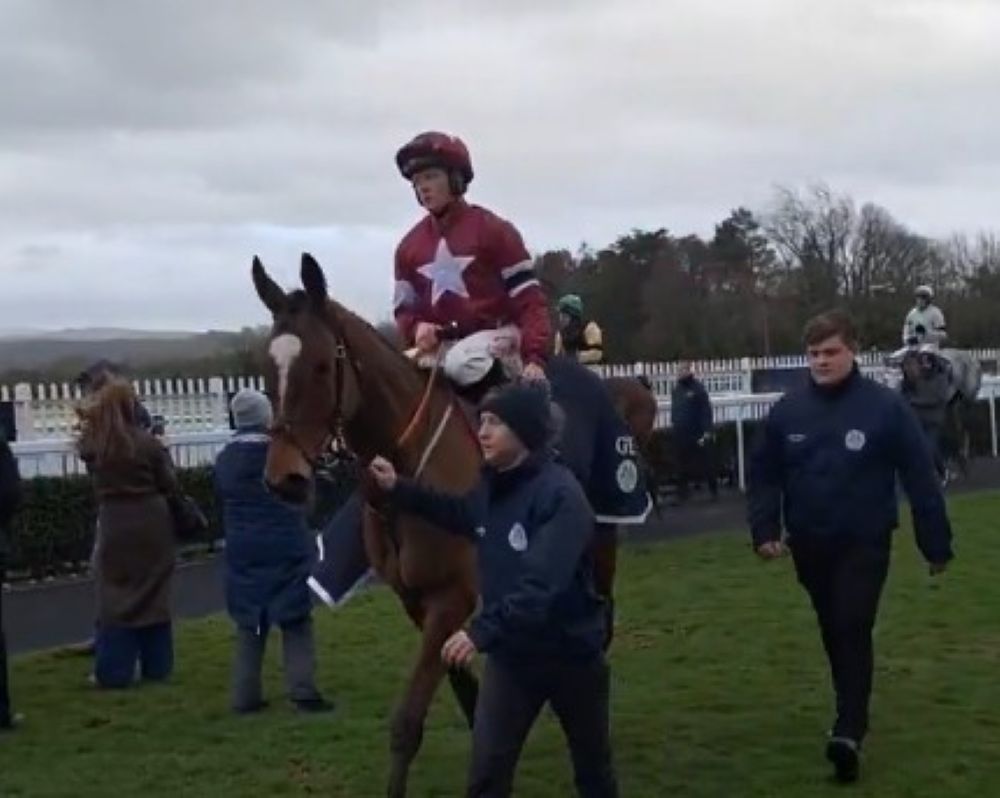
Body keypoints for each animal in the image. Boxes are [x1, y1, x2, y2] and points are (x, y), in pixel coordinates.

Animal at [254, 256, 652, 798]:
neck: (411, 460)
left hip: (604, 530)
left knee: (602, 615)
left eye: (319, 365)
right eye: (267, 368)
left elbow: (407, 721)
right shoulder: (418, 600)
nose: (284, 479)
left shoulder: (452, 595)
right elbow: (465, 687)